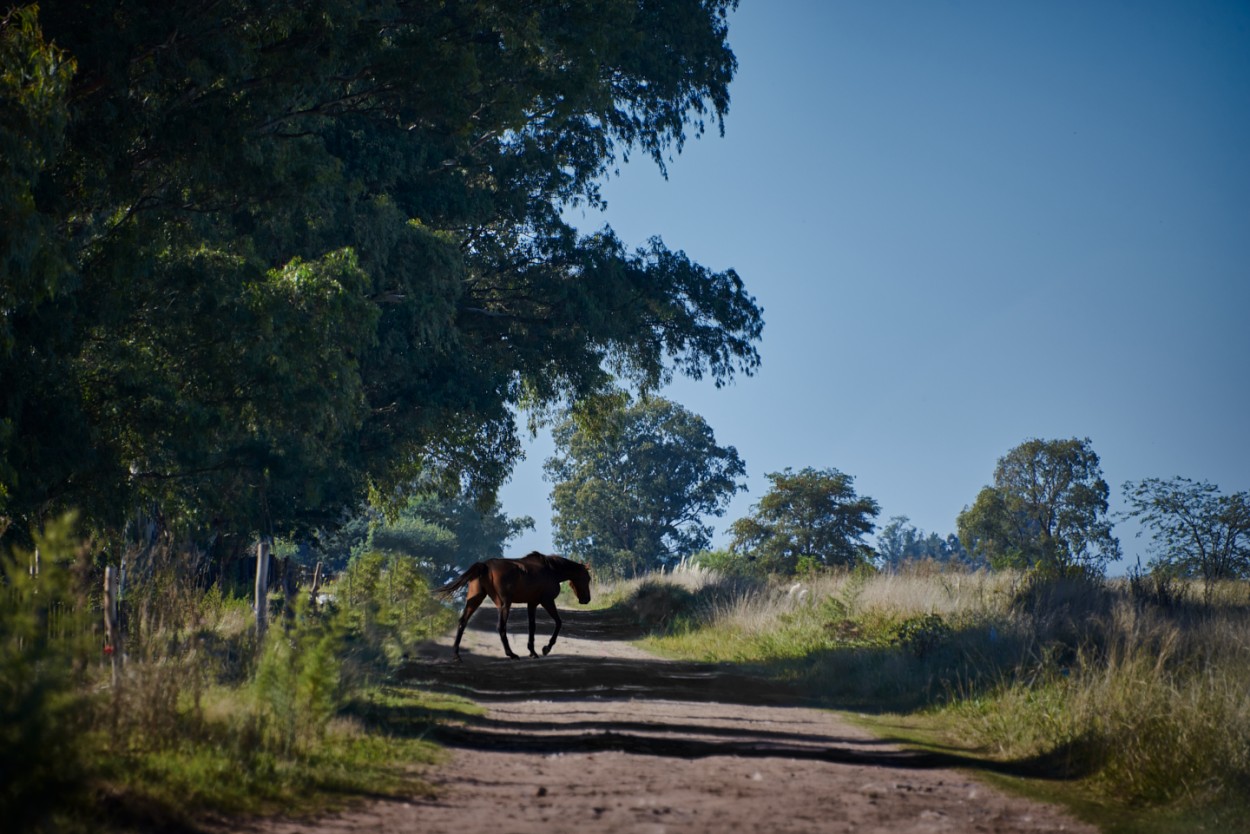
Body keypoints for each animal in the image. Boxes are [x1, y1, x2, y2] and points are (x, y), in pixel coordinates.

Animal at [437, 550, 592, 660]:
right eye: (587, 578)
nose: (586, 599)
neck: (552, 570)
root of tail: (485, 566)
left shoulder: (532, 604)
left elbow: (532, 627)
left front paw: (532, 651)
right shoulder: (547, 601)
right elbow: (558, 622)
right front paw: (546, 648)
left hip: (475, 599)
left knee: (463, 622)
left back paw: (456, 655)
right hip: (504, 604)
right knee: (501, 627)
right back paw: (511, 654)